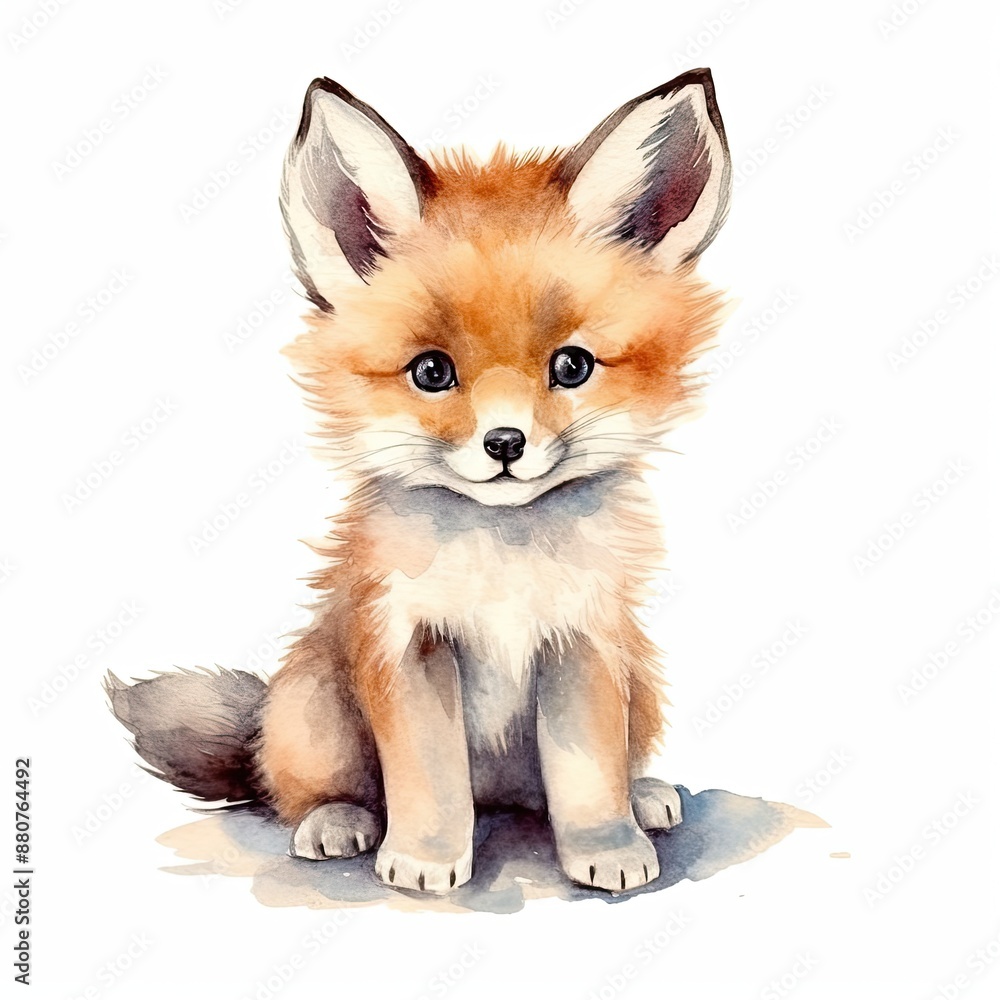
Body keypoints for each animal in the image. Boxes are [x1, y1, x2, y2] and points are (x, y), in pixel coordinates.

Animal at [106, 68, 732, 895]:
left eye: (572, 366)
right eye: (432, 372)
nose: (505, 443)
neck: (502, 564)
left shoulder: (584, 639)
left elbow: (587, 773)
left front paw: (607, 846)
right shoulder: (408, 644)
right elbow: (429, 781)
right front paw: (428, 861)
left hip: (642, 684)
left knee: (577, 779)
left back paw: (646, 795)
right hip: (316, 710)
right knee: (301, 789)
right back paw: (337, 821)